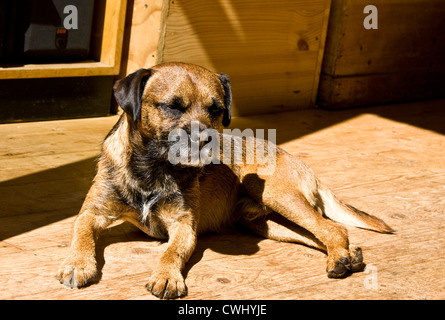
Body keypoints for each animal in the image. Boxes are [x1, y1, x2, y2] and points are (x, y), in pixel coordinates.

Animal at [56, 63, 392, 300]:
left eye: (216, 110)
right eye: (172, 106)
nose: (206, 138)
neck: (154, 168)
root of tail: (303, 165)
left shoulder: (183, 227)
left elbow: (171, 252)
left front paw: (166, 276)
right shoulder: (92, 213)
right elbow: (81, 235)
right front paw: (78, 264)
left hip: (274, 193)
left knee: (332, 229)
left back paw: (340, 258)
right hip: (266, 223)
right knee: (318, 234)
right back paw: (349, 256)